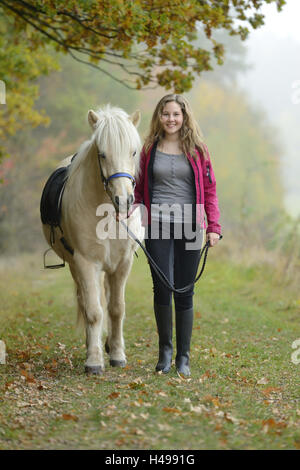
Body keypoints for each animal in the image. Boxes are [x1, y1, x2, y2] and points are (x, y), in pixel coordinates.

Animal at [42, 105, 144, 374]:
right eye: (102, 154)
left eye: (133, 152)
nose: (124, 201)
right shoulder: (86, 262)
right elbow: (94, 312)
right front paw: (94, 360)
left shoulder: (122, 264)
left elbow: (117, 309)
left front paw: (117, 354)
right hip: (78, 266)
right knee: (88, 301)